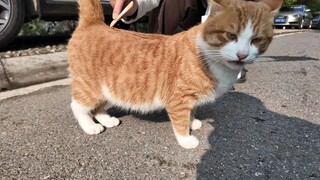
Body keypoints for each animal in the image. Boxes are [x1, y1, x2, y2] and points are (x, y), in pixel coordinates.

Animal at [69, 0, 282, 148]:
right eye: (230, 36)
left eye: (256, 40)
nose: (242, 54)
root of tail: (95, 23)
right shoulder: (179, 99)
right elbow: (180, 121)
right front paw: (186, 139)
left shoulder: (191, 99)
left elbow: (191, 111)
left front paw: (192, 122)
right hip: (90, 87)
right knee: (78, 106)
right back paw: (90, 126)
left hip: (109, 89)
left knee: (99, 107)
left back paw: (106, 119)